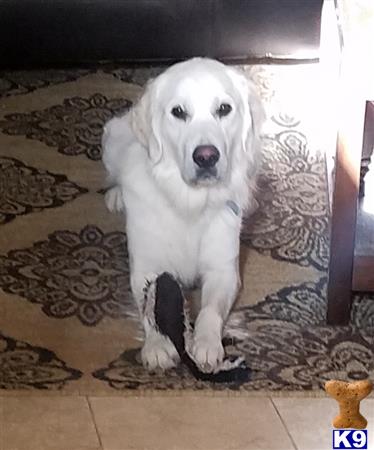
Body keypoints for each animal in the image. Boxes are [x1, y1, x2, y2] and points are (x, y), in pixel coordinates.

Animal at [101, 57, 262, 372]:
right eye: (178, 112)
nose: (206, 157)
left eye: (223, 109)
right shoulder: (146, 267)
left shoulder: (223, 271)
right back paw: (116, 195)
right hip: (111, 139)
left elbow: (210, 309)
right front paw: (158, 345)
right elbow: (149, 306)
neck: (190, 202)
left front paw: (207, 344)